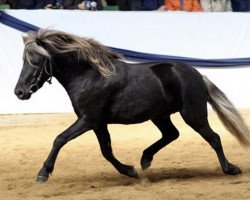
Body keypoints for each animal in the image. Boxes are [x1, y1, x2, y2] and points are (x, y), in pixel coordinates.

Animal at [14, 28, 249, 184]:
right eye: (24, 60)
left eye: (36, 60)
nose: (20, 92)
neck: (88, 76)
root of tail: (197, 75)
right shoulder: (98, 123)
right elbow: (106, 150)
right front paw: (130, 170)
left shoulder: (88, 119)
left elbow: (60, 139)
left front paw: (43, 173)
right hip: (160, 115)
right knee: (172, 134)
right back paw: (145, 160)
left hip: (193, 113)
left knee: (213, 138)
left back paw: (230, 168)